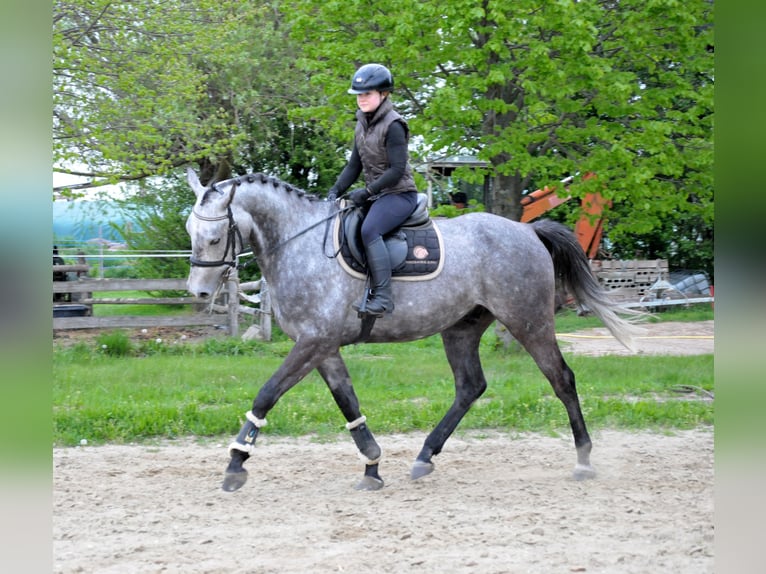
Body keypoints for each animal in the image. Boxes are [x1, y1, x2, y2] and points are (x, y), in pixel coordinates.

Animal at [184, 168, 643, 492]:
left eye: (215, 237)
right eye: (191, 232)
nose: (198, 292)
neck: (301, 244)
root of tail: (527, 229)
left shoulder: (314, 341)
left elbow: (267, 393)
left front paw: (236, 462)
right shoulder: (322, 346)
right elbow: (348, 403)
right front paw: (371, 465)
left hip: (529, 321)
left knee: (561, 379)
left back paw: (583, 460)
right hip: (461, 329)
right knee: (470, 386)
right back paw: (425, 455)